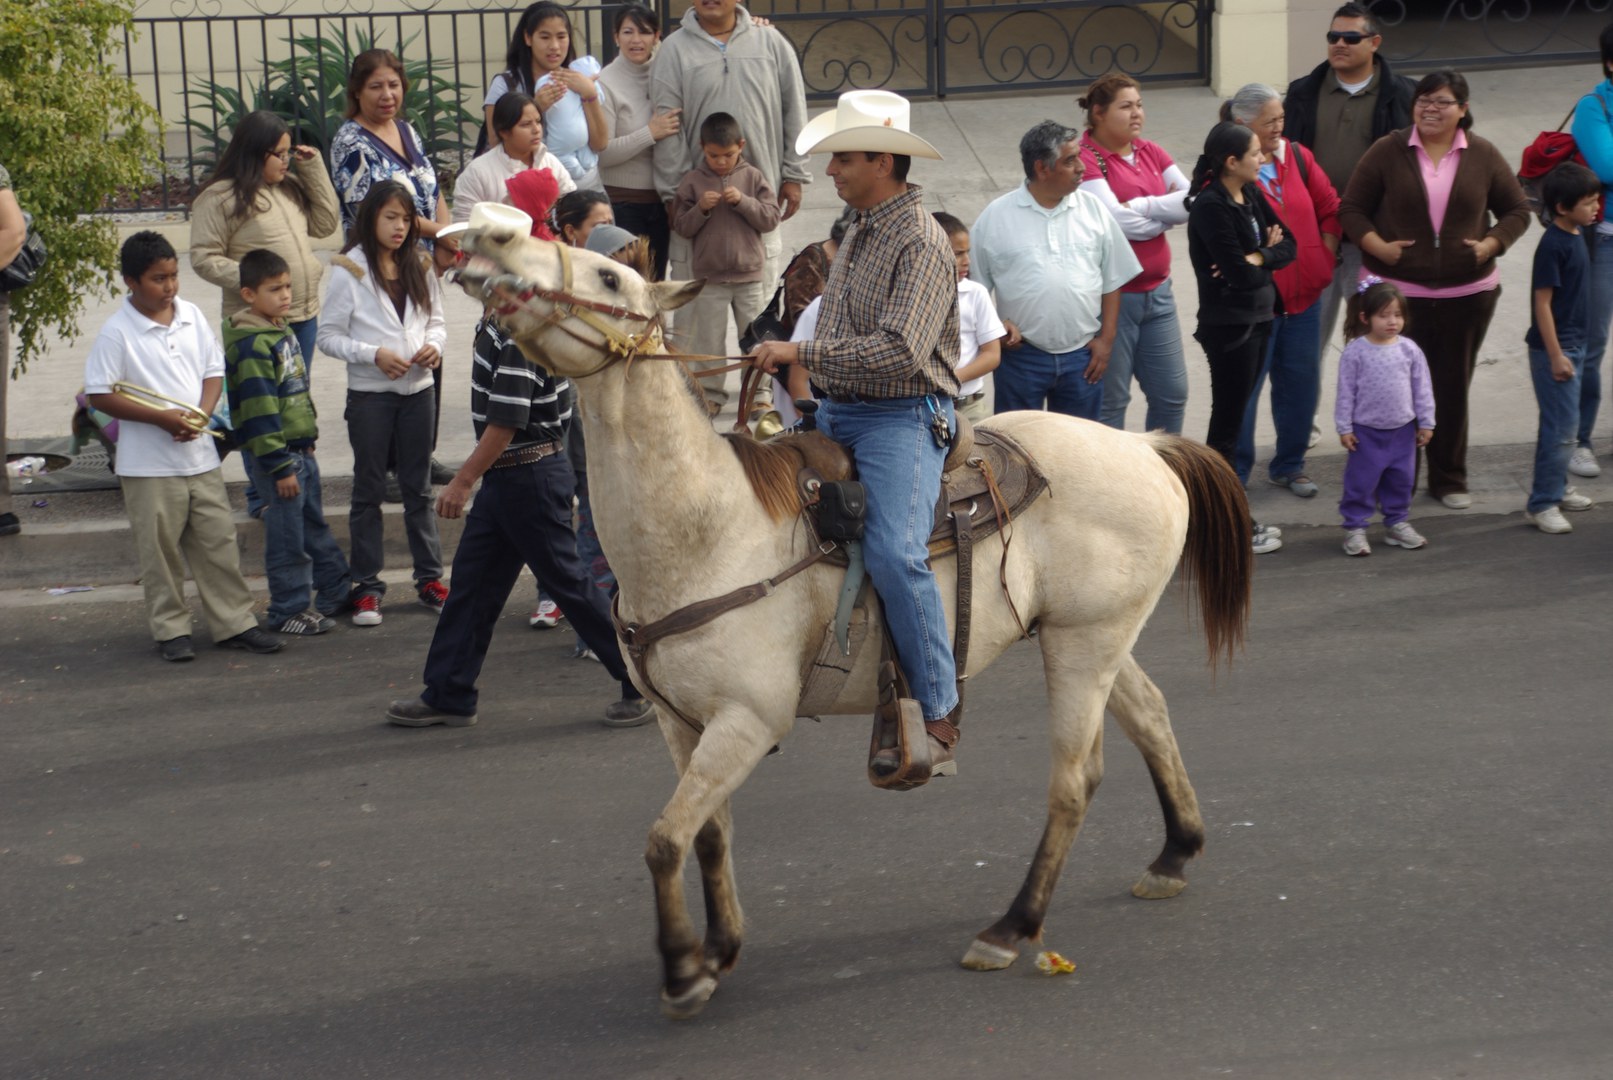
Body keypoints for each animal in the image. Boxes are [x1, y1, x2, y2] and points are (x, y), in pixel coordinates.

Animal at [448, 224, 1251, 1018]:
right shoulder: (681, 725)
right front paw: (718, 950)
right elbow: (708, 834)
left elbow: (665, 841)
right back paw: (1174, 853)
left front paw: (681, 969)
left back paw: (1009, 927)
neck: (706, 528)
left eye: (609, 278)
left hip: (1085, 644)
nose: (487, 243)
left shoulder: (748, 720)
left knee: (1074, 779)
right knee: (1150, 715)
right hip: (1088, 636)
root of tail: (1144, 445)